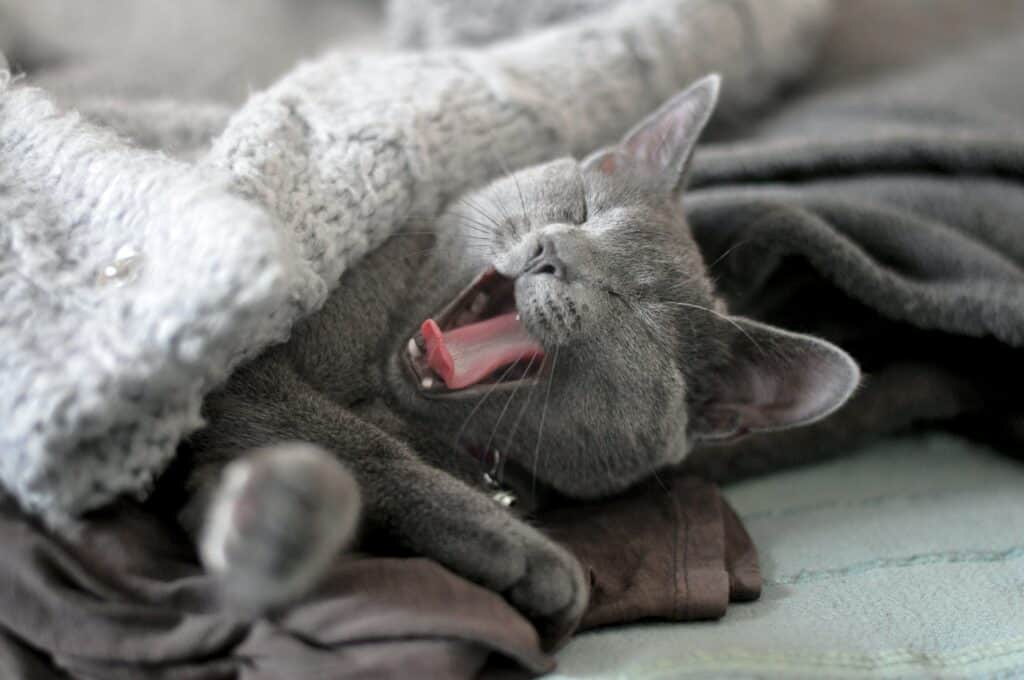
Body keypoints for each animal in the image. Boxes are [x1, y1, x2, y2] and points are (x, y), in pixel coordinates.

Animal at [163, 75, 860, 643]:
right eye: (582, 208)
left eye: (635, 306)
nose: (553, 250)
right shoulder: (246, 374)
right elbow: (360, 445)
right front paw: (525, 554)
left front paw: (266, 525)